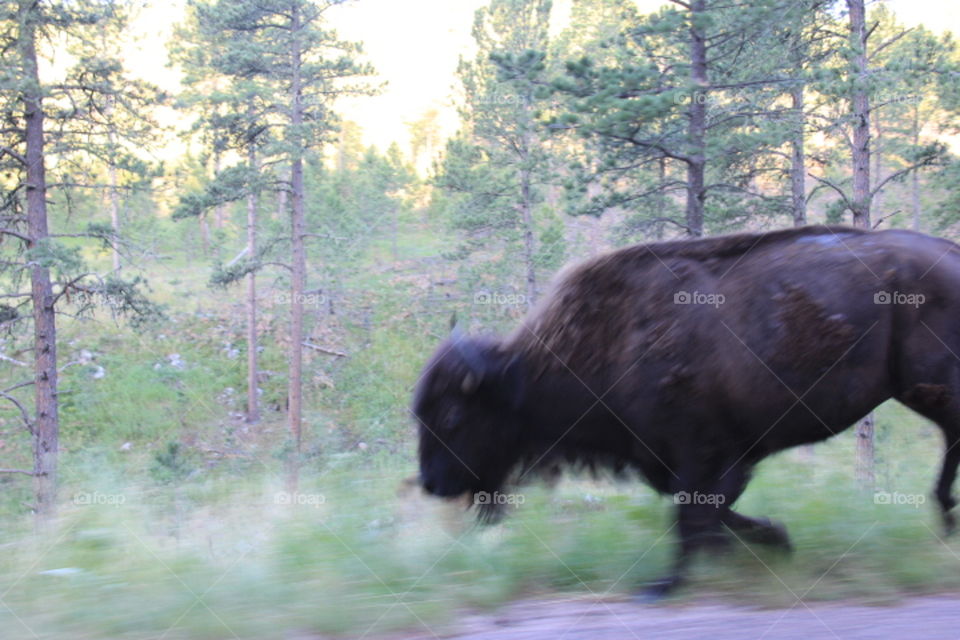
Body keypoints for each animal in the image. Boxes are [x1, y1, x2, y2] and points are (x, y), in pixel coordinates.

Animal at [413, 225, 960, 594]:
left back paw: (945, 516)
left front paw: (665, 585)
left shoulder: (702, 453)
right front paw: (776, 539)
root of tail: (949, 251)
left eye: (453, 417)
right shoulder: (678, 460)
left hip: (927, 387)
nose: (432, 484)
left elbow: (692, 517)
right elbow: (708, 514)